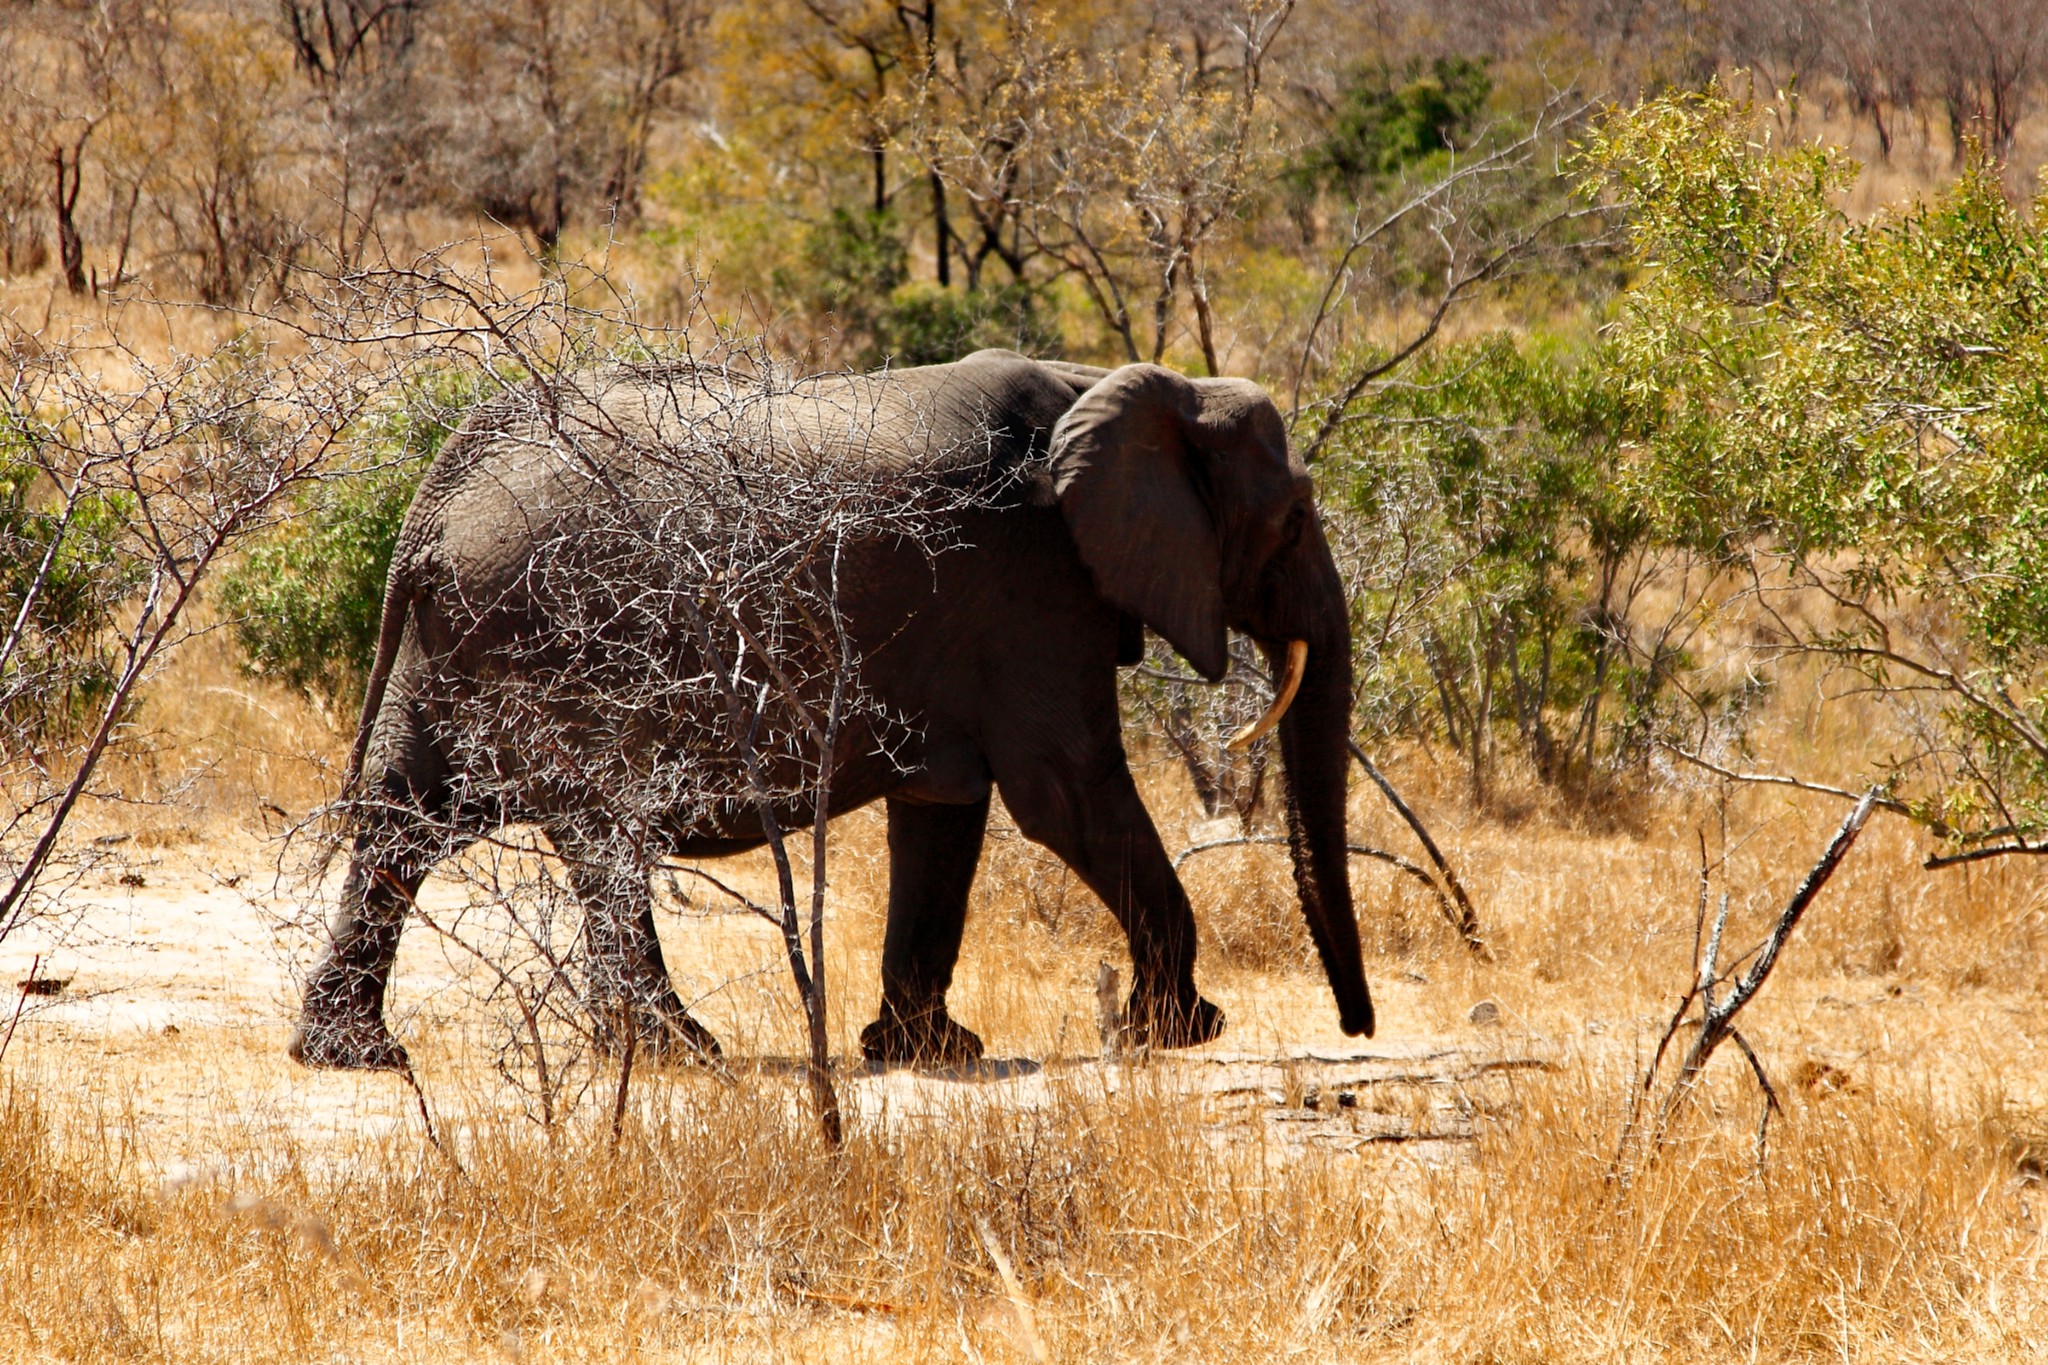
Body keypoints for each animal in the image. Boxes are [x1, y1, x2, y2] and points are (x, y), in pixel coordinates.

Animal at [288, 347, 1376, 1072]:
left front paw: (926, 1051)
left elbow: (942, 815)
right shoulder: (1034, 589)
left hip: (458, 642)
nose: (1357, 1028)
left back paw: (354, 1053)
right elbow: (1065, 793)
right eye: (1292, 518)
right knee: (596, 833)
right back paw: (682, 1053)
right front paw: (1180, 1030)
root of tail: (440, 492)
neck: (1108, 385)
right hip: (549, 637)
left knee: (407, 818)